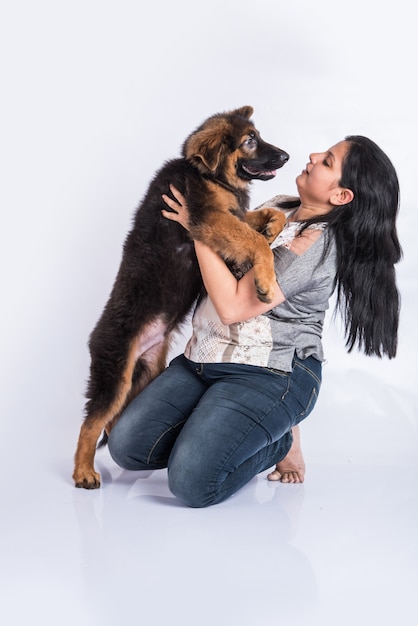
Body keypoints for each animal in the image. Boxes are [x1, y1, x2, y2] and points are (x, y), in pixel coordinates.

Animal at [73, 105, 290, 488]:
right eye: (249, 141)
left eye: (258, 135)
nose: (286, 156)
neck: (207, 174)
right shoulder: (207, 217)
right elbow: (253, 240)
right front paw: (265, 280)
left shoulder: (228, 214)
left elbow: (267, 214)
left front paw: (272, 226)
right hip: (115, 372)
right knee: (91, 422)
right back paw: (83, 472)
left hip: (147, 373)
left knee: (115, 422)